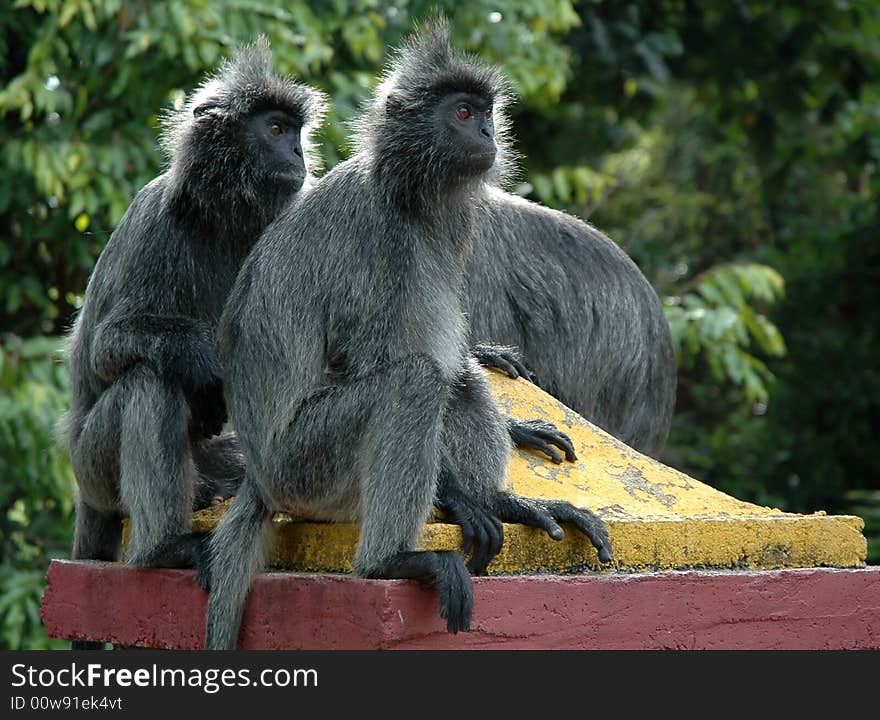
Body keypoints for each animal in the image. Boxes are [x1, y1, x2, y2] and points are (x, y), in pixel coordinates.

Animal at [63, 40, 328, 600]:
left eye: (296, 133)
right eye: (277, 130)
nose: (298, 154)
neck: (227, 216)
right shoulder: (154, 223)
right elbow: (105, 348)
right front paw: (202, 363)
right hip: (94, 466)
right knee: (149, 380)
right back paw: (164, 547)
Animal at [204, 25, 612, 648]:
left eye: (485, 113)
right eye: (463, 113)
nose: (488, 133)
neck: (405, 193)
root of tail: (260, 477)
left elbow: (455, 362)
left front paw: (502, 474)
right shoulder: (377, 240)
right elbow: (367, 357)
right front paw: (458, 500)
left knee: (453, 378)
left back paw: (498, 500)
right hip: (305, 466)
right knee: (416, 380)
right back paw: (391, 560)